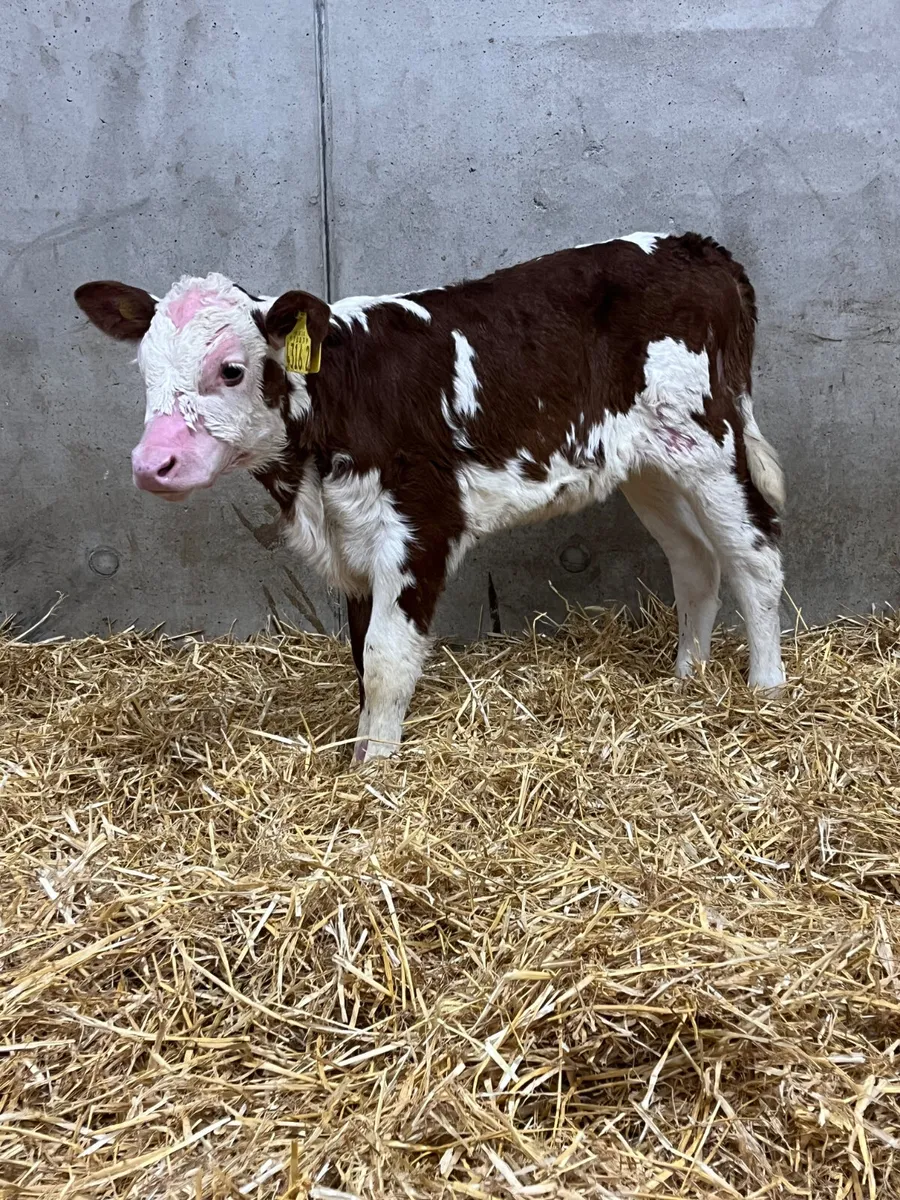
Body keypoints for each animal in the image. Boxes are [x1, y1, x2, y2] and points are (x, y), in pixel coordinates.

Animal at [74, 232, 786, 764]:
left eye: (232, 370)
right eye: (144, 371)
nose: (153, 463)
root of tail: (696, 246)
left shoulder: (420, 526)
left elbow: (387, 660)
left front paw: (376, 772)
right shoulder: (352, 540)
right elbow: (360, 656)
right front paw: (361, 756)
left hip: (710, 436)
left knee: (754, 555)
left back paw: (767, 691)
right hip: (650, 465)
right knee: (695, 560)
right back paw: (686, 678)